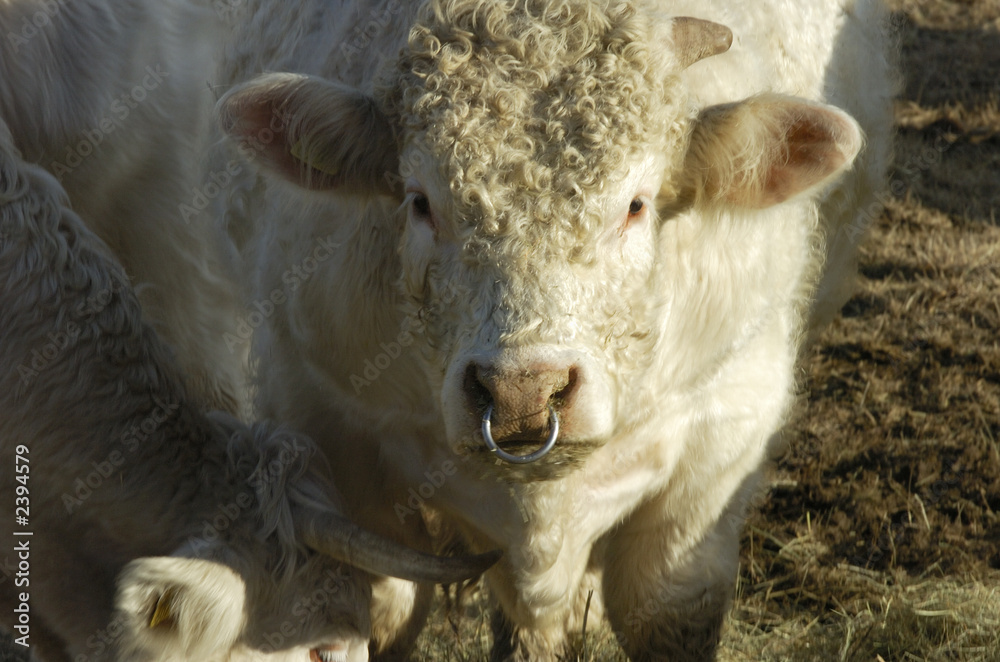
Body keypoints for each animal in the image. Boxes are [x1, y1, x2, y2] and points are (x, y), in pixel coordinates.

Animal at [211, 0, 895, 659]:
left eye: (636, 205)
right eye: (420, 202)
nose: (522, 392)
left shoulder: (721, 438)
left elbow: (667, 607)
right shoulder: (334, 432)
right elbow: (383, 612)